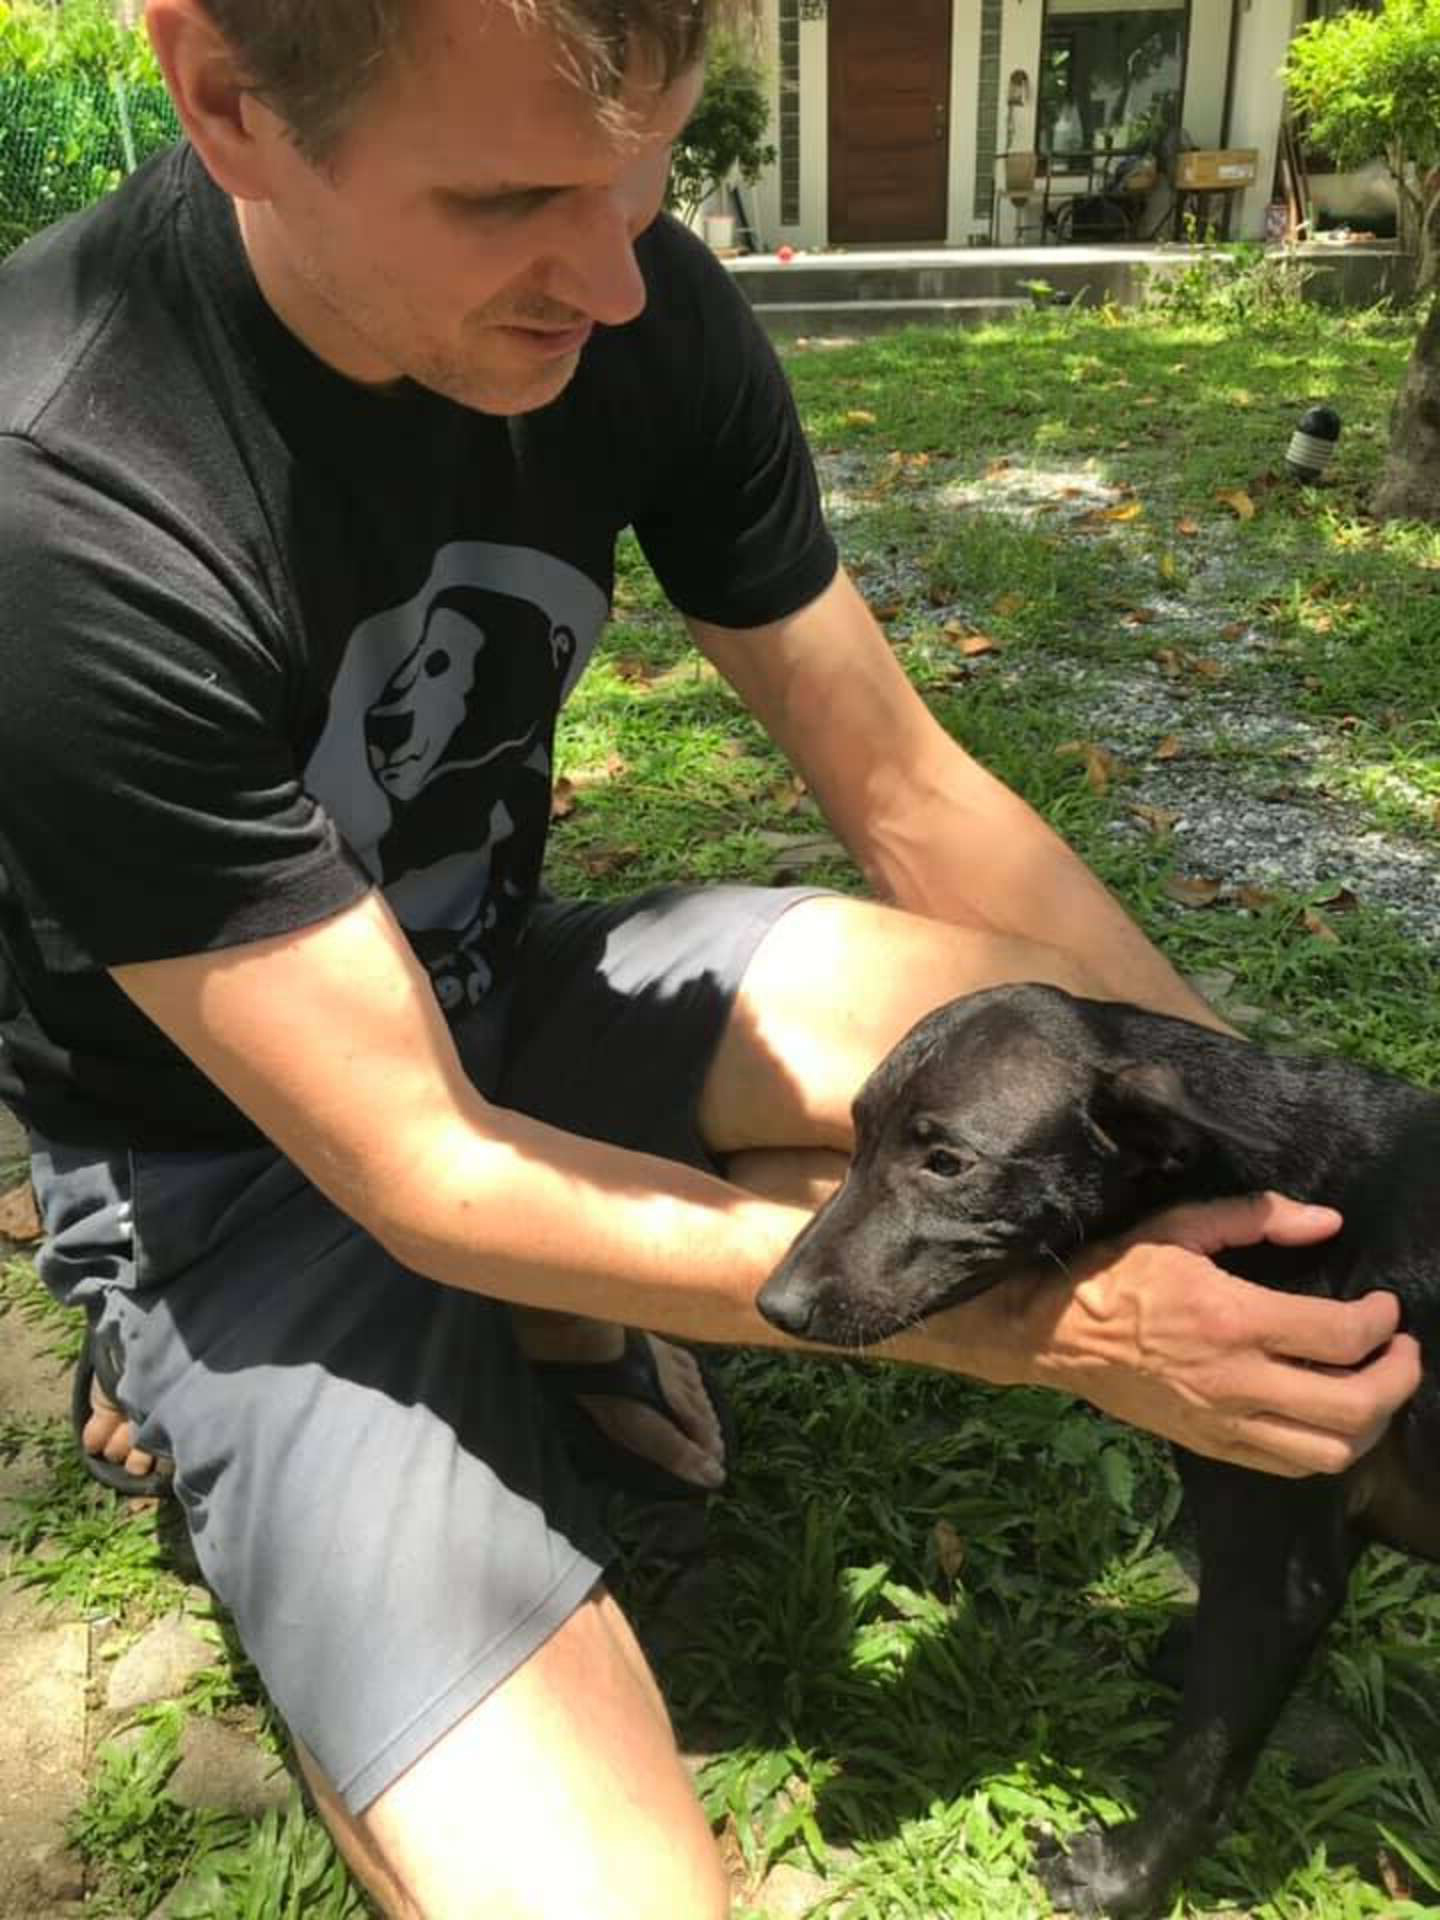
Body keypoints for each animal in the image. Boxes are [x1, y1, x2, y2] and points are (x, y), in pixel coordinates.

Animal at [757, 982, 1439, 1918]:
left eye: (947, 1163)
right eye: (856, 1136)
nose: (773, 1305)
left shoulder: (1280, 1571)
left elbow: (1200, 1767)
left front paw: (1122, 1880)